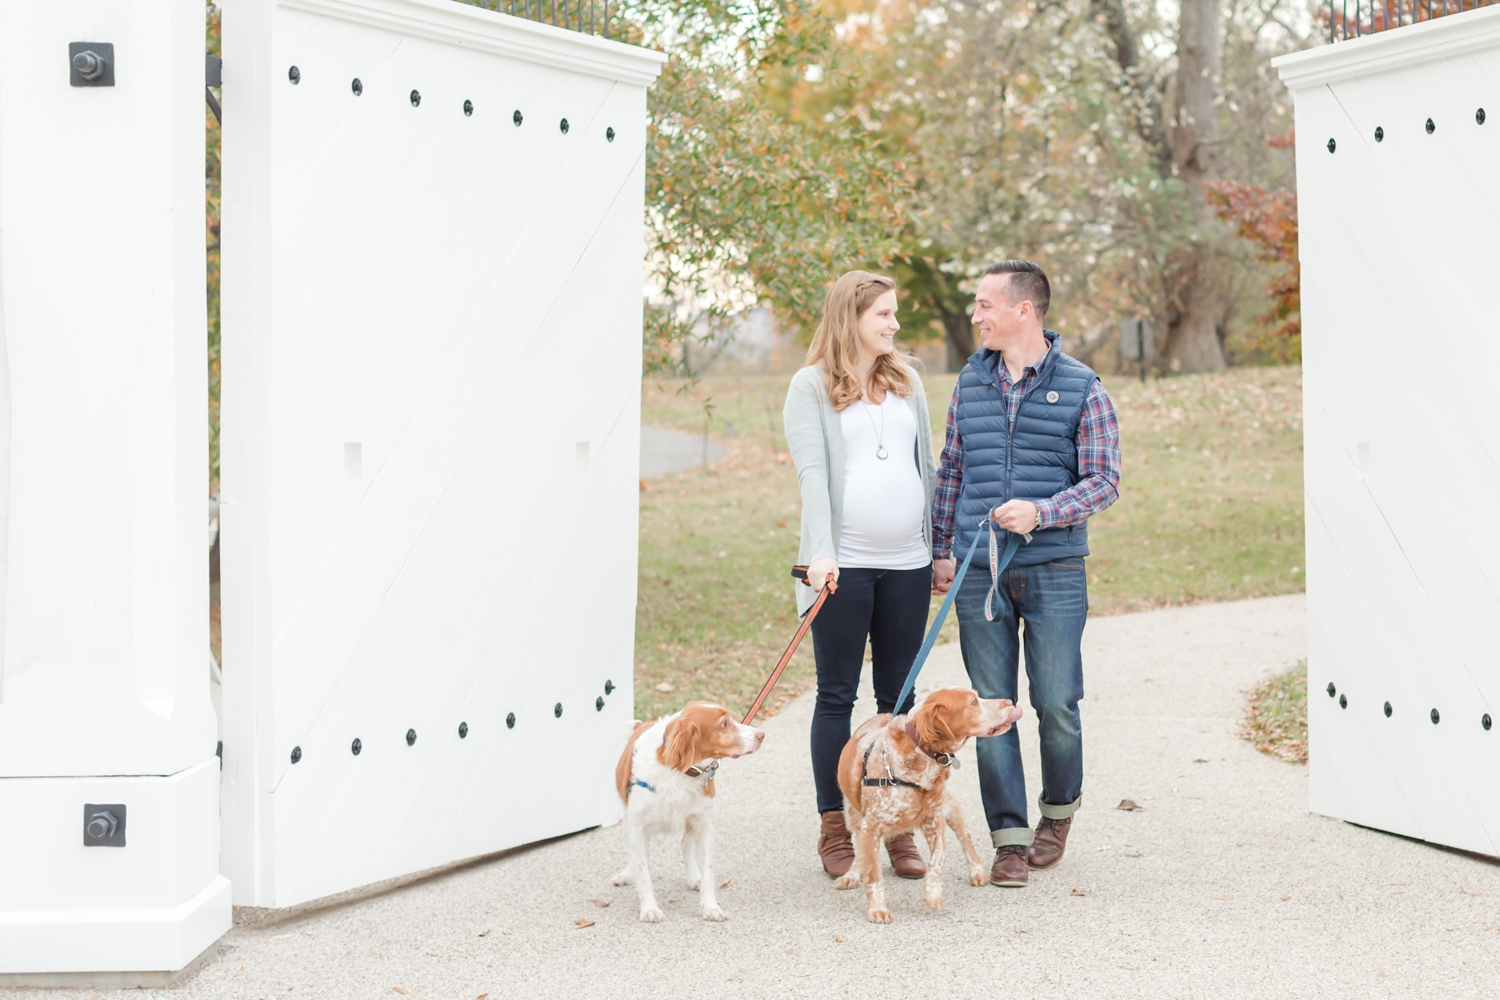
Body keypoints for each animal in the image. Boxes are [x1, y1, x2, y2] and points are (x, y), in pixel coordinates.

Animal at [612, 704, 768, 923]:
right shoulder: (638, 826)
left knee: (685, 845)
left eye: (732, 718)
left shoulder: (703, 824)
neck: (679, 772)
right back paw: (627, 874)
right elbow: (642, 871)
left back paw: (694, 877)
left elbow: (708, 872)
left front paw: (711, 907)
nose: (761, 735)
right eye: (724, 723)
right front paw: (649, 908)